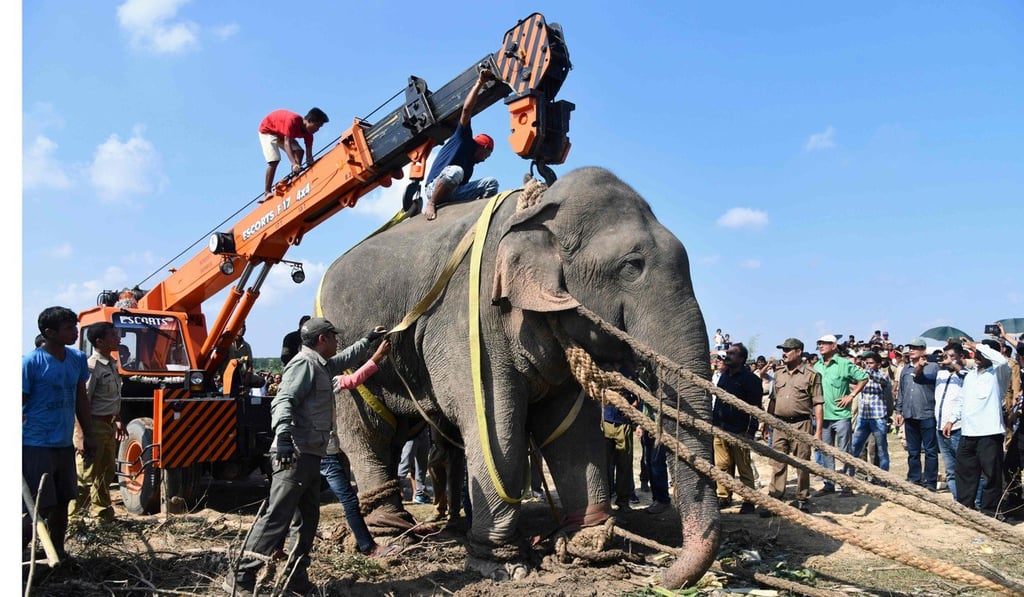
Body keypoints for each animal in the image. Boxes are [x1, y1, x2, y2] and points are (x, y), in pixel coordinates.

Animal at [317, 167, 719, 588]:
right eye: (632, 265)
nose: (661, 579)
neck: (538, 212)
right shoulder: (470, 322)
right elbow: (498, 429)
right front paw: (503, 564)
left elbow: (572, 431)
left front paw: (590, 545)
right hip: (345, 358)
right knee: (367, 432)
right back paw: (392, 535)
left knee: (400, 434)